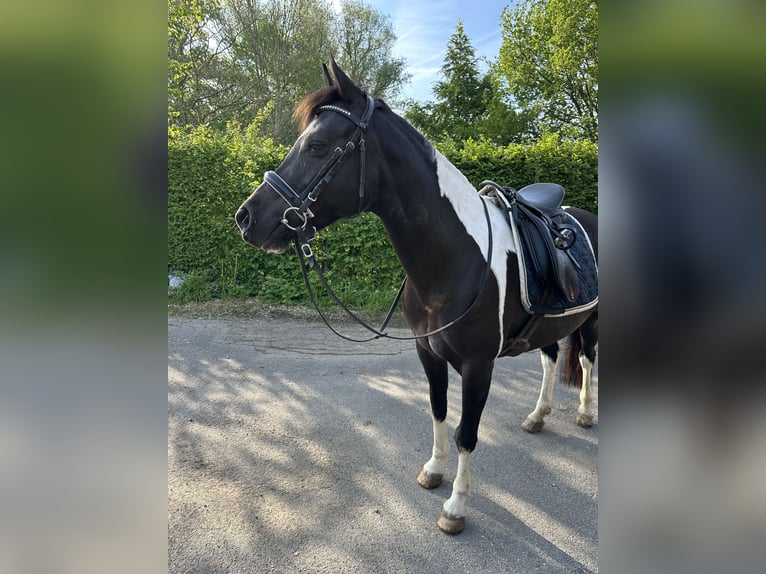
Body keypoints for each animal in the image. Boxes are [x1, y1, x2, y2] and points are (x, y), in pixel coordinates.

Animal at [236, 58, 600, 536]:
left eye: (316, 145)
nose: (246, 218)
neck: (459, 260)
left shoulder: (478, 365)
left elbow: (467, 432)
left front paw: (456, 507)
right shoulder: (428, 353)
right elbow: (438, 410)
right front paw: (433, 471)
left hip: (592, 321)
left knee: (587, 359)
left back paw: (587, 413)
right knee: (552, 358)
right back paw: (538, 417)